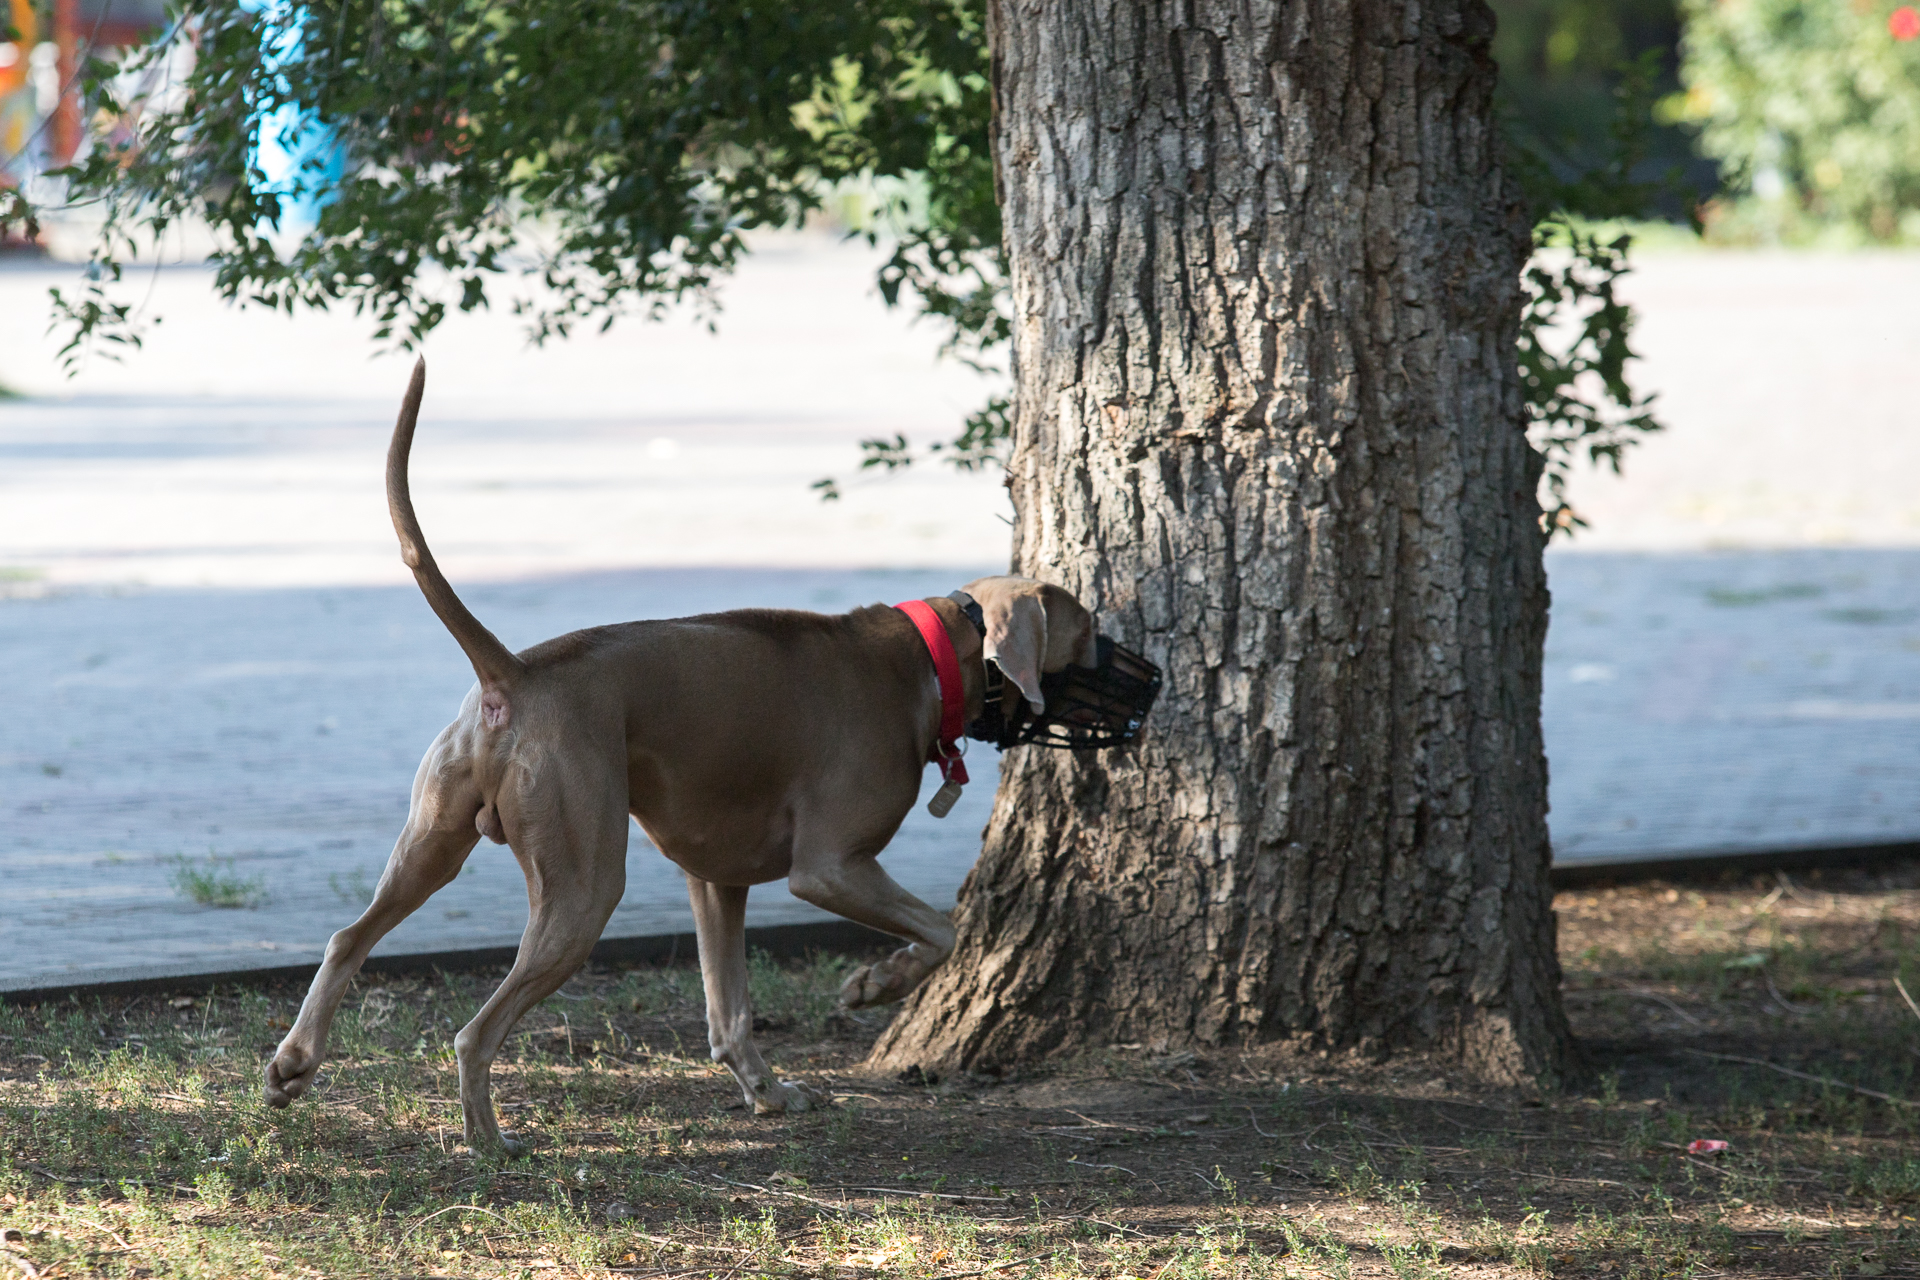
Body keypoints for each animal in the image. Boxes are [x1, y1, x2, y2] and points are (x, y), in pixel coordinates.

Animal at [261, 360, 1098, 1151]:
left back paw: (294, 1064)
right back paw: (489, 1138)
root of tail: (514, 674)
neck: (929, 659)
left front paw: (767, 1090)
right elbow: (942, 930)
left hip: (433, 841)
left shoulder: (717, 877)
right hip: (585, 886)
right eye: (1088, 631)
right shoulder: (830, 867)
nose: (1133, 663)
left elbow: (730, 1012)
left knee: (348, 938)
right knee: (475, 1031)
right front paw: (876, 983)